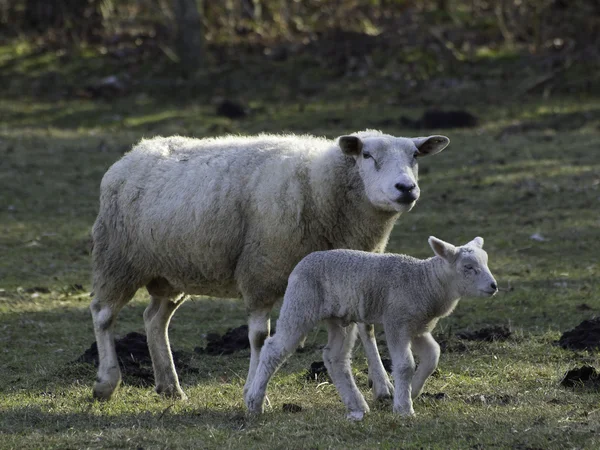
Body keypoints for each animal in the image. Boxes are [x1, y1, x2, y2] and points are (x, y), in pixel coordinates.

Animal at [86, 130, 448, 400]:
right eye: (367, 156)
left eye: (415, 156)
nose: (406, 188)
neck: (319, 188)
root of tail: (135, 152)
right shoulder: (260, 273)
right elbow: (260, 338)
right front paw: (255, 392)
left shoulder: (355, 272)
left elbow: (367, 327)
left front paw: (383, 387)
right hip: (118, 259)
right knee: (103, 314)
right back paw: (106, 383)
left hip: (173, 270)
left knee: (154, 320)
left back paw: (169, 386)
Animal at [244, 237, 496, 420]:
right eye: (468, 267)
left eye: (485, 262)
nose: (494, 286)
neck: (425, 282)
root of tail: (301, 264)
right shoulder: (397, 321)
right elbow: (405, 365)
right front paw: (404, 408)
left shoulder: (417, 326)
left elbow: (433, 355)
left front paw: (413, 391)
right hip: (301, 304)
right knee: (273, 349)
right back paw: (254, 403)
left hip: (339, 318)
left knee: (335, 358)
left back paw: (357, 405)